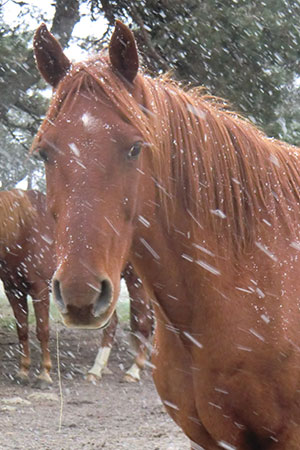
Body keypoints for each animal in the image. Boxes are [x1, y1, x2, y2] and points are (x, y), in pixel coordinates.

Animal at [0, 188, 54, 382]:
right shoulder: (13, 291)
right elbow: (22, 329)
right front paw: (23, 371)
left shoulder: (40, 289)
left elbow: (42, 330)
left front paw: (44, 374)